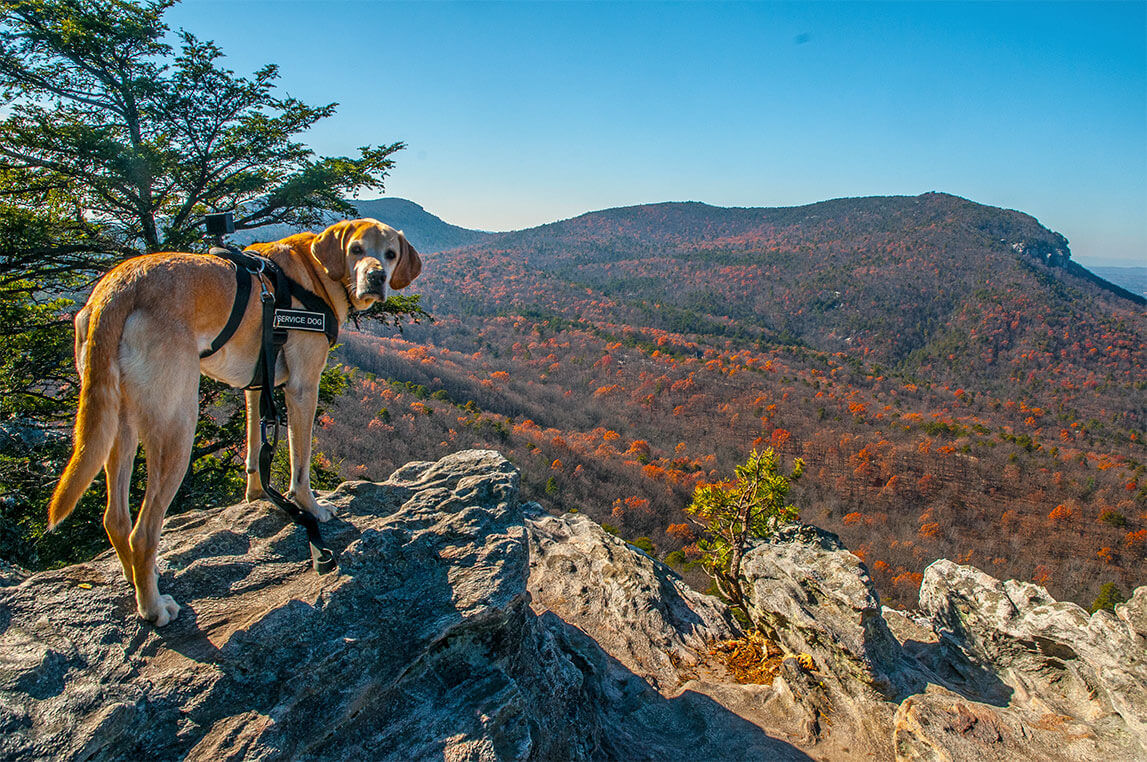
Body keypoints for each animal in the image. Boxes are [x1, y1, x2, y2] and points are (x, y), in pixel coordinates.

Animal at [49, 219, 424, 624]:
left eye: (390, 254)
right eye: (356, 249)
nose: (377, 277)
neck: (316, 271)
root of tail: (116, 289)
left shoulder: (259, 385)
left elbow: (255, 449)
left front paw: (258, 495)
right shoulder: (303, 386)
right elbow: (301, 462)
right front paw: (310, 507)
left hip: (119, 420)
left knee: (116, 520)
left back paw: (139, 576)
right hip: (176, 422)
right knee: (143, 531)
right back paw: (153, 607)